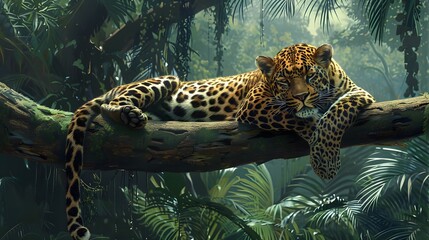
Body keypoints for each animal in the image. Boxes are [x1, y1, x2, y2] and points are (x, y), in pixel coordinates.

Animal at [64, 43, 374, 240]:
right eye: (284, 82)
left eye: (310, 75)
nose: (301, 96)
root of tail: (116, 85)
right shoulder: (255, 104)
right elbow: (298, 117)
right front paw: (320, 150)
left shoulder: (359, 92)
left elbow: (337, 112)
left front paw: (325, 152)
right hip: (166, 78)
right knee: (112, 105)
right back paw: (128, 113)